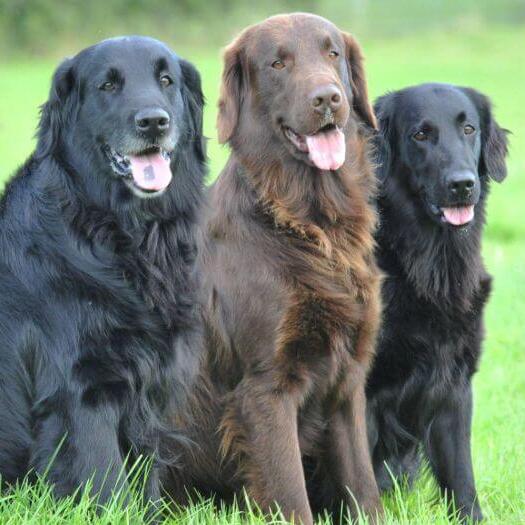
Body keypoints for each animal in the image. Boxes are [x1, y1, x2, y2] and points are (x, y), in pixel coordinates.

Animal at [0, 35, 205, 500]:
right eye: (107, 85)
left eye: (166, 80)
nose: (154, 121)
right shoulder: (80, 388)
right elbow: (107, 483)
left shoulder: (148, 385)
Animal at [167, 13, 380, 524]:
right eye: (277, 64)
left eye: (332, 53)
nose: (327, 98)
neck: (310, 225)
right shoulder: (266, 388)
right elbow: (290, 495)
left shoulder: (347, 382)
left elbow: (365, 489)